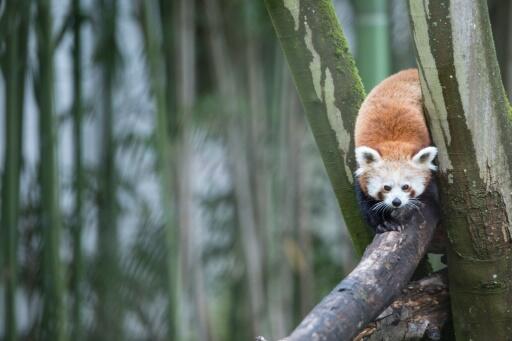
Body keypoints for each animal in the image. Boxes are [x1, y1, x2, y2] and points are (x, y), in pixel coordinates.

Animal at [354, 69, 438, 234]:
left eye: (406, 187)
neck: (393, 142)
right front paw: (384, 222)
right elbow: (365, 201)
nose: (396, 202)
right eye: (386, 187)